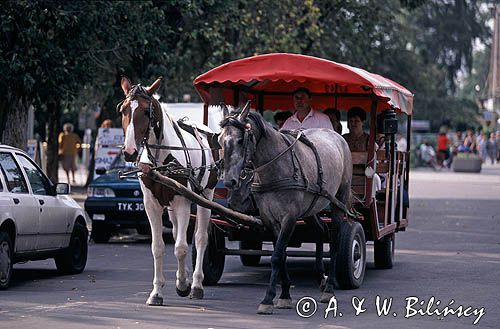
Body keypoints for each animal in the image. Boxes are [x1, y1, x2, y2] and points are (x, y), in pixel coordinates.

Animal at [119, 77, 217, 304]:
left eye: (146, 112)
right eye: (123, 110)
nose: (130, 152)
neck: (161, 160)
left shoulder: (183, 202)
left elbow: (181, 247)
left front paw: (183, 284)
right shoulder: (151, 204)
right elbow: (158, 247)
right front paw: (157, 292)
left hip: (205, 196)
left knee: (200, 238)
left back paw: (196, 284)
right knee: (175, 231)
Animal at [218, 102, 352, 312]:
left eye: (240, 140)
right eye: (220, 140)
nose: (230, 181)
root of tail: (337, 137)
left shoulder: (289, 217)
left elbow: (277, 256)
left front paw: (267, 299)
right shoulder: (269, 218)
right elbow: (280, 255)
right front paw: (285, 295)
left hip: (339, 200)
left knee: (336, 240)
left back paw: (329, 288)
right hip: (310, 208)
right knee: (320, 230)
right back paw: (320, 277)